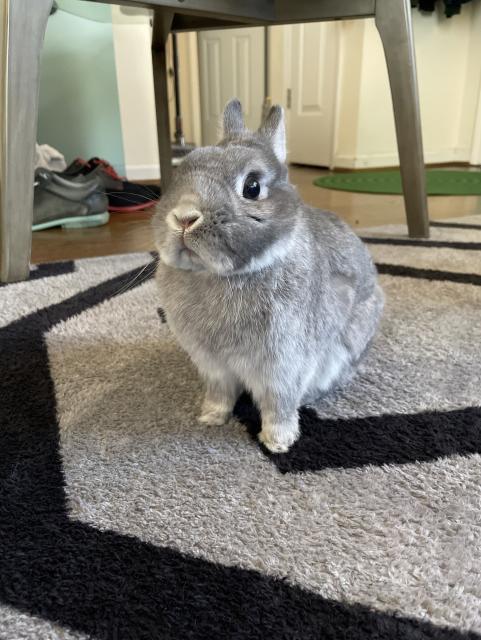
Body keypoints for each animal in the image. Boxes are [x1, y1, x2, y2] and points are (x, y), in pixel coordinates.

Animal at [153, 99, 384, 453]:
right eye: (182, 172)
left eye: (252, 187)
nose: (184, 218)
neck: (221, 275)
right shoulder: (213, 367)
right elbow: (220, 394)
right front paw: (210, 418)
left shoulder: (284, 365)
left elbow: (278, 405)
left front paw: (277, 441)